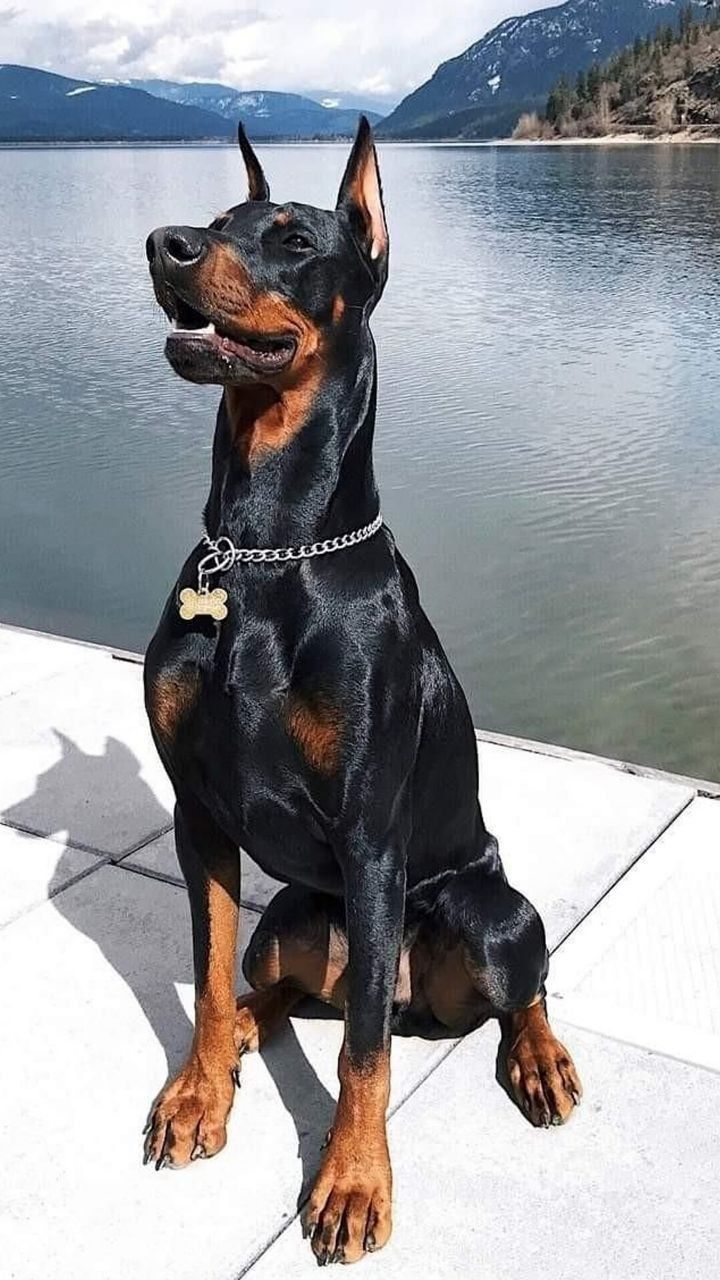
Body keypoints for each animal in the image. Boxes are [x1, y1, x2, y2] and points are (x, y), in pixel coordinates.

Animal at [142, 122, 579, 1269]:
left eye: (295, 238)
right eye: (220, 219)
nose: (165, 243)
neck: (263, 550)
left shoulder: (372, 834)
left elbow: (365, 1056)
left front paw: (351, 1182)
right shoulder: (198, 812)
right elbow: (206, 972)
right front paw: (199, 1094)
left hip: (488, 911)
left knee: (512, 989)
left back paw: (540, 1058)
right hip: (297, 910)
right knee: (278, 982)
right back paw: (246, 1035)